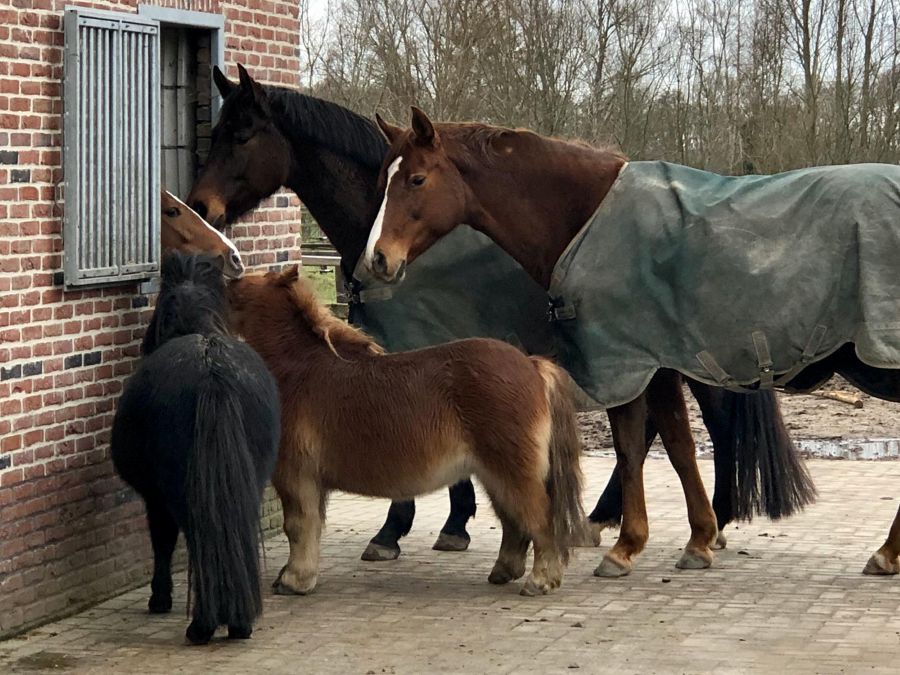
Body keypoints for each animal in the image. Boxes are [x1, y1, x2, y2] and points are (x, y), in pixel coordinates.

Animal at [110, 252, 280, 644]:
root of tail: (212, 372)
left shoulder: (155, 497)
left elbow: (162, 541)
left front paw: (160, 599)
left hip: (179, 490)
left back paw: (202, 625)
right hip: (248, 481)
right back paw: (238, 622)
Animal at [227, 265, 585, 596]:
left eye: (234, 293)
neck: (301, 370)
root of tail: (533, 365)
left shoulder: (296, 474)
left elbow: (299, 526)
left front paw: (294, 580)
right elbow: (312, 526)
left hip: (512, 471)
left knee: (539, 518)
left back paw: (540, 580)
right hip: (494, 474)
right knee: (513, 522)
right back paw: (504, 571)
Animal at [365, 106, 900, 577]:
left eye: (416, 179)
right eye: (381, 183)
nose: (378, 259)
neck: (586, 217)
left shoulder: (634, 364)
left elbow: (648, 447)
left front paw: (636, 546)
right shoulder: (647, 366)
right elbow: (660, 447)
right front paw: (686, 539)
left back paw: (886, 554)